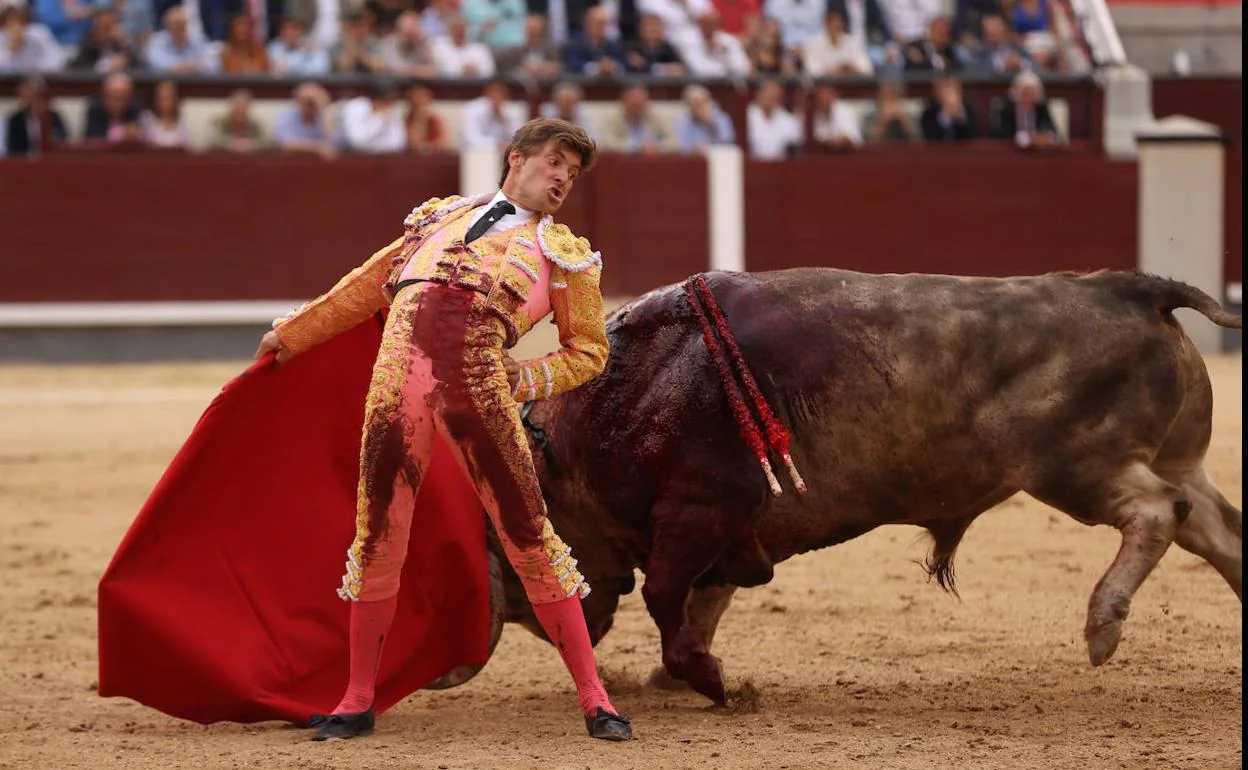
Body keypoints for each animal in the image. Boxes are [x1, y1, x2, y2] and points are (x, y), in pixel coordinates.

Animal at [426, 268, 1238, 703]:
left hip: (1071, 465)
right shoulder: (726, 536)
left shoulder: (698, 511)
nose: (575, 636)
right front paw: (678, 674)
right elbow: (702, 600)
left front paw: (711, 682)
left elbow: (666, 595)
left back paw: (1102, 625)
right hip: (1173, 457)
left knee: (1159, 513)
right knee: (1221, 529)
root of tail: (1130, 287)